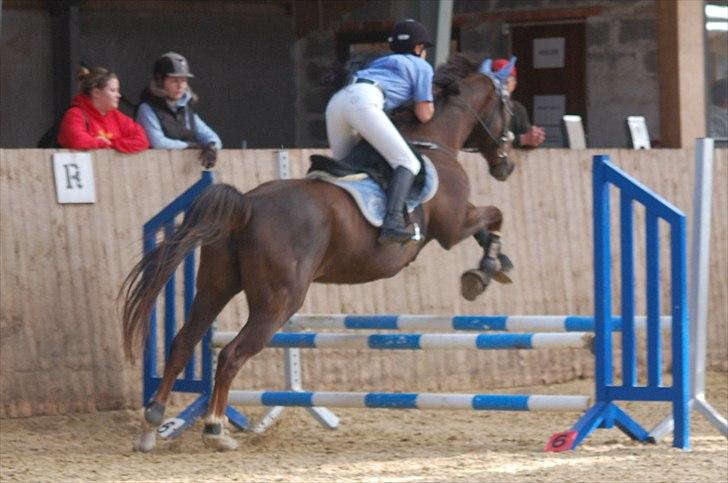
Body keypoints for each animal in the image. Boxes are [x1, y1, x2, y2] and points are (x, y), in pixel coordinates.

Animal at [121, 54, 516, 452]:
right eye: (509, 108)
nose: (507, 165)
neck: (435, 142)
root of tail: (247, 205)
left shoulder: (457, 220)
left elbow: (487, 223)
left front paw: (497, 265)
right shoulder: (452, 226)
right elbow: (495, 215)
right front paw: (485, 270)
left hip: (215, 287)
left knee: (184, 341)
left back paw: (152, 425)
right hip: (278, 302)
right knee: (232, 355)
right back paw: (215, 429)